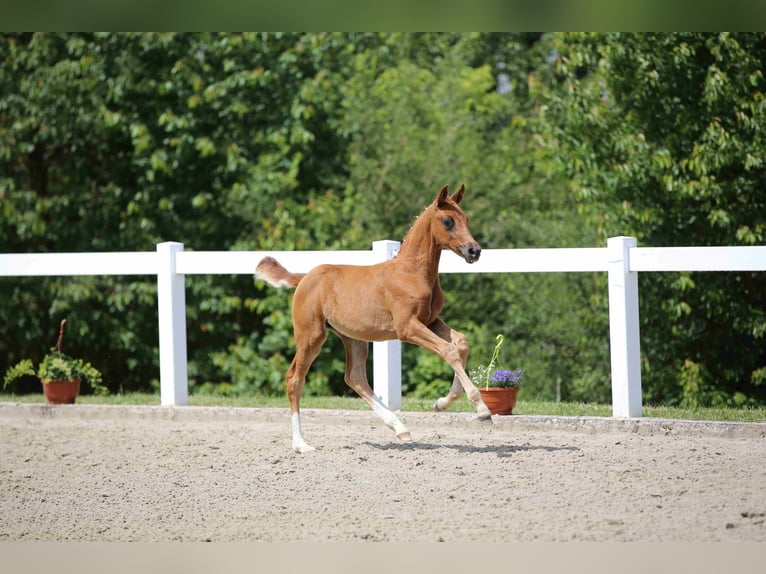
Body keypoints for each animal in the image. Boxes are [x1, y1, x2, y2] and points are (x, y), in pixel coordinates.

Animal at [255, 186, 488, 454]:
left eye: (466, 218)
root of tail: (303, 278)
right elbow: (448, 351)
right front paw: (482, 409)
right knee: (295, 378)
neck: (412, 272)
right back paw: (301, 444)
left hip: (354, 338)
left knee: (354, 377)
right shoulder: (407, 327)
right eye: (448, 221)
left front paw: (441, 403)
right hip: (311, 336)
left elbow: (461, 343)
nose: (474, 251)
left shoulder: (431, 321)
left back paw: (400, 428)